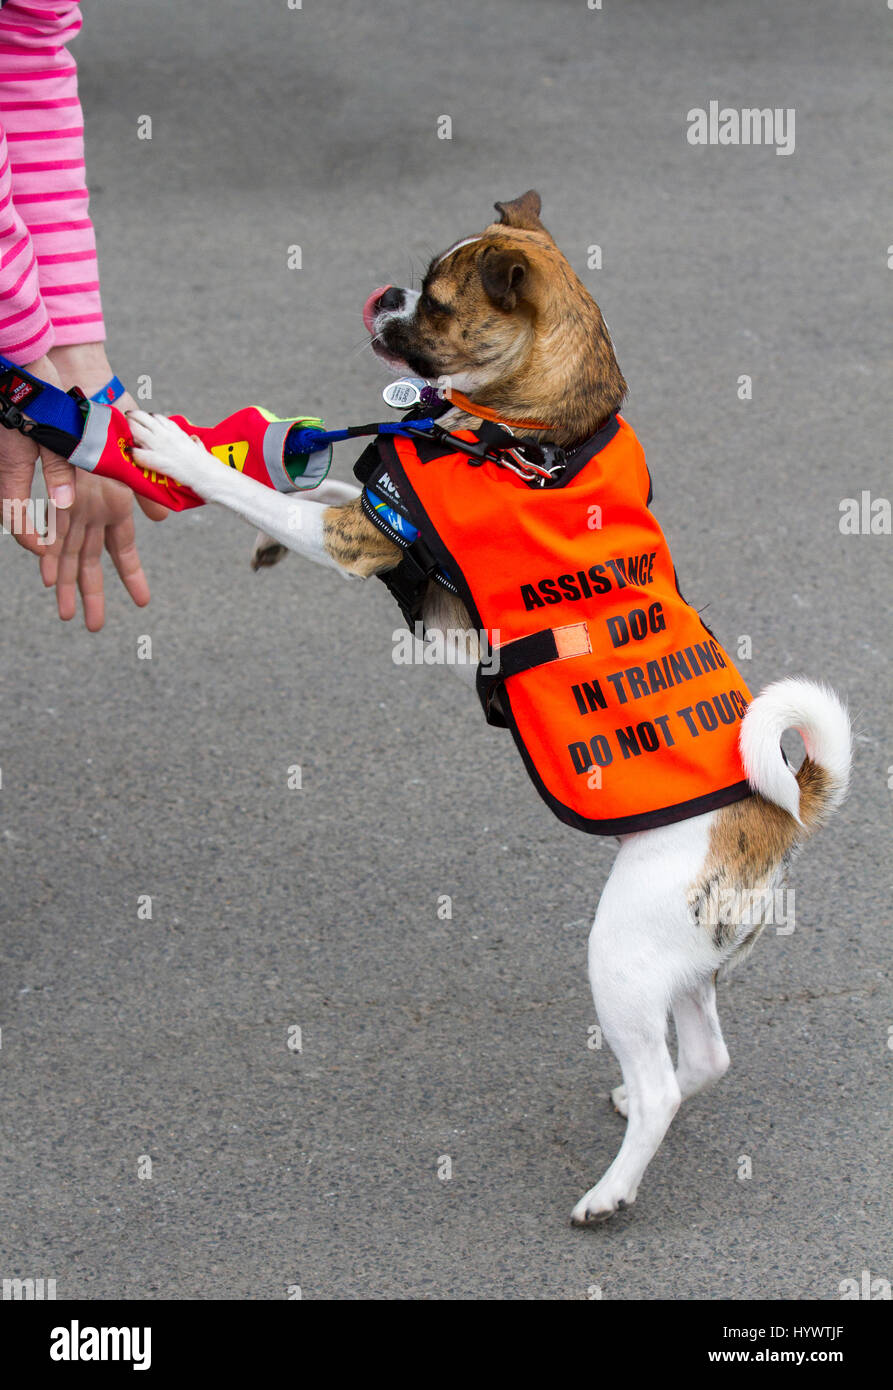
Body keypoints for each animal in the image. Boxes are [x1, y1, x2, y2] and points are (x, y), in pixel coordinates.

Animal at [128, 190, 851, 1223]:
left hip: (620, 955)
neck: (534, 434)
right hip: (680, 963)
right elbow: (328, 484)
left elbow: (262, 496)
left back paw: (610, 1191)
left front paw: (180, 452)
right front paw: (273, 501)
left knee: (669, 1086)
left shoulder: (360, 543)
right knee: (706, 1056)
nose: (382, 293)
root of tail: (780, 812)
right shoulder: (397, 554)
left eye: (434, 304)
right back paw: (639, 1104)